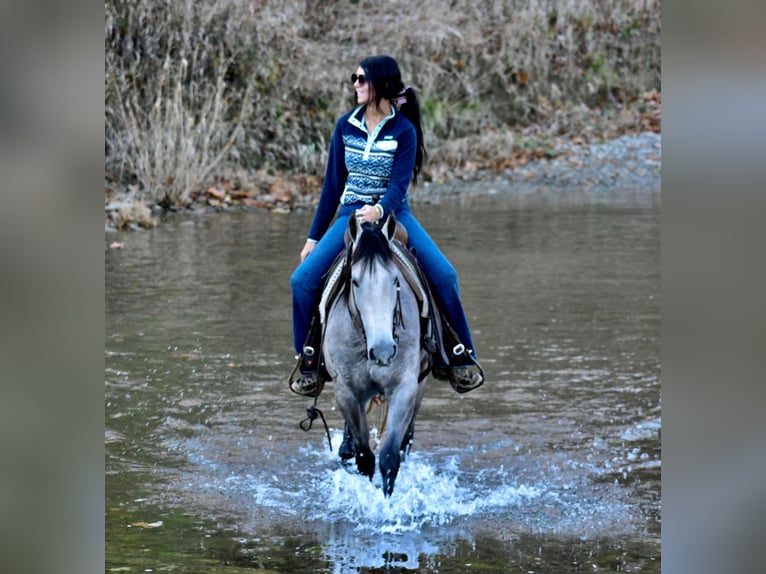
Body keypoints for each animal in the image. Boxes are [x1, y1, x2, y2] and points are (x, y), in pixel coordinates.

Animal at [322, 214, 428, 498]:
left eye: (396, 281)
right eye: (355, 281)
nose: (383, 351)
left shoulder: (404, 386)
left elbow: (390, 456)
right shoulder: (346, 392)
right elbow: (365, 458)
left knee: (407, 439)